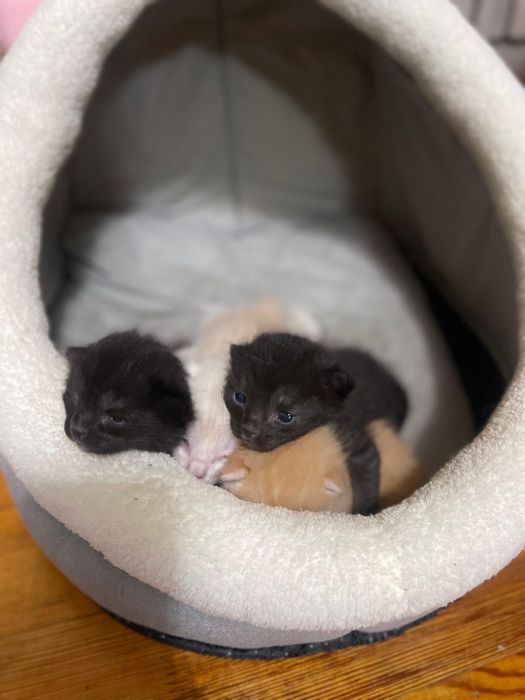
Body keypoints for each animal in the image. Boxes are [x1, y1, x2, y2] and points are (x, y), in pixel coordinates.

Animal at [222, 332, 410, 514]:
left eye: (285, 416)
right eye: (239, 397)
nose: (248, 430)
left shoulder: (356, 441)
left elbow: (366, 481)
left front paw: (365, 512)